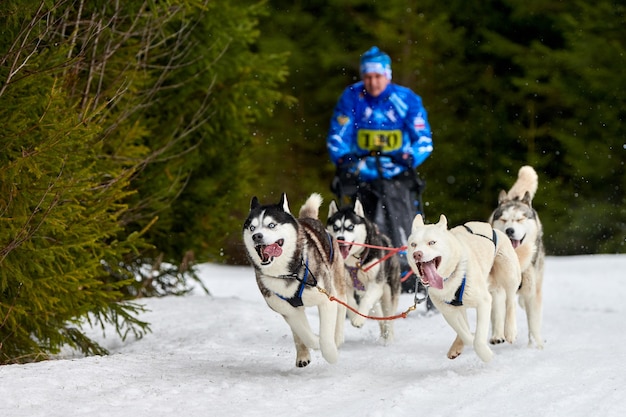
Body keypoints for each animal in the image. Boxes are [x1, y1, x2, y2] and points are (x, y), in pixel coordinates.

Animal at [241, 193, 346, 366]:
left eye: (271, 225)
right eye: (252, 228)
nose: (257, 236)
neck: (288, 273)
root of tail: (308, 218)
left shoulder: (325, 298)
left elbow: (325, 335)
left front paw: (331, 354)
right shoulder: (287, 309)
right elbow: (302, 331)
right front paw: (314, 342)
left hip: (336, 282)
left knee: (340, 309)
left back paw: (337, 338)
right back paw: (303, 354)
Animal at [324, 197, 398, 342]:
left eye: (350, 227)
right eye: (335, 227)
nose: (340, 239)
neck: (355, 262)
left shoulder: (376, 285)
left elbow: (366, 299)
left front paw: (358, 319)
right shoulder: (344, 285)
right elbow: (350, 303)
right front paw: (355, 316)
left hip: (388, 292)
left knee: (389, 317)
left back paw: (389, 337)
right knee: (379, 316)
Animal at [402, 214, 520, 360]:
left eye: (432, 242)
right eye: (413, 244)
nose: (417, 254)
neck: (450, 278)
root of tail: (490, 226)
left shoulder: (484, 302)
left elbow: (478, 340)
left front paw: (486, 355)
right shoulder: (448, 311)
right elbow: (465, 333)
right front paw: (468, 338)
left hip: (509, 273)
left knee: (510, 302)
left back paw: (510, 331)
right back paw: (457, 345)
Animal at [490, 166, 544, 348]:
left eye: (520, 219)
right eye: (503, 219)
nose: (509, 230)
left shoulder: (531, 292)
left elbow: (533, 321)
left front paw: (535, 345)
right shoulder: (498, 288)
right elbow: (499, 311)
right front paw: (498, 335)